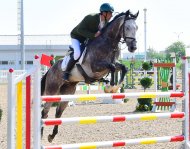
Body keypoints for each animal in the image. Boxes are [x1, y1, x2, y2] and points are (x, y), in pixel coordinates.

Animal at [41, 9, 138, 143]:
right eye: (127, 27)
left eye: (137, 28)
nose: (133, 47)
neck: (108, 42)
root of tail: (51, 69)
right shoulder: (95, 67)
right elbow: (112, 67)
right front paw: (110, 87)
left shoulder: (113, 64)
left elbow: (123, 68)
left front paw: (114, 87)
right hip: (52, 91)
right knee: (44, 112)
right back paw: (40, 136)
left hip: (68, 91)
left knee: (58, 113)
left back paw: (51, 136)